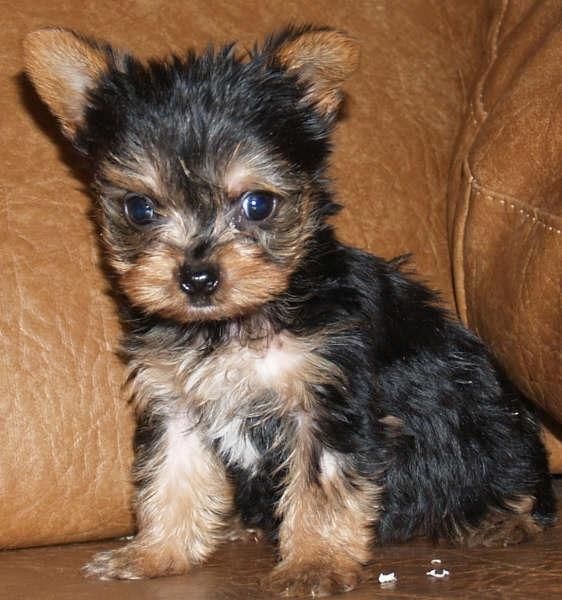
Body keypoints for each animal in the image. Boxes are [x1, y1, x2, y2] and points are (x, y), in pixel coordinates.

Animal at [23, 25, 552, 596]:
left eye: (258, 204)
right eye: (140, 208)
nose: (197, 278)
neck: (231, 326)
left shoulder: (325, 399)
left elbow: (320, 488)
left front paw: (312, 564)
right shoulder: (175, 398)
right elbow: (171, 475)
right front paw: (155, 553)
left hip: (492, 428)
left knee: (515, 483)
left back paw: (497, 520)